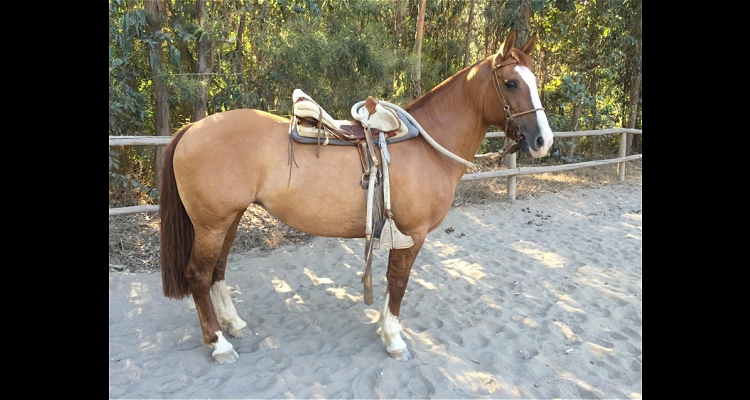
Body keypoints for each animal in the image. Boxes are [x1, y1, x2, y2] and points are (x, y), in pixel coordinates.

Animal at [160, 29, 552, 364]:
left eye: (534, 81)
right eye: (511, 83)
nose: (543, 141)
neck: (428, 146)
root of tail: (192, 129)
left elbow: (391, 282)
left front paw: (384, 327)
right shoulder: (412, 233)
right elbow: (398, 282)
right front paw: (393, 338)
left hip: (230, 219)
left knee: (218, 270)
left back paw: (233, 324)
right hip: (212, 224)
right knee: (198, 275)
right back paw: (219, 343)